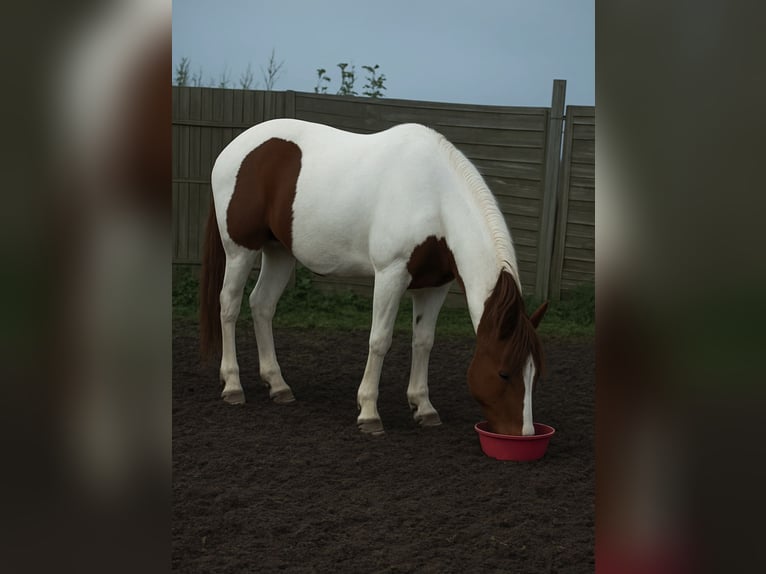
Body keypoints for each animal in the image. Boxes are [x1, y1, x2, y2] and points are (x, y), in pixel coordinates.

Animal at [199, 118, 548, 436]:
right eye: (504, 373)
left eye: (535, 374)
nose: (524, 434)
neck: (435, 196)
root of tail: (230, 151)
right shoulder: (390, 274)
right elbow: (380, 340)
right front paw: (368, 412)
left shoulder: (435, 286)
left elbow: (423, 341)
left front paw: (424, 407)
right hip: (240, 250)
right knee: (228, 305)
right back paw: (233, 384)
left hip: (280, 252)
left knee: (262, 305)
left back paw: (278, 384)